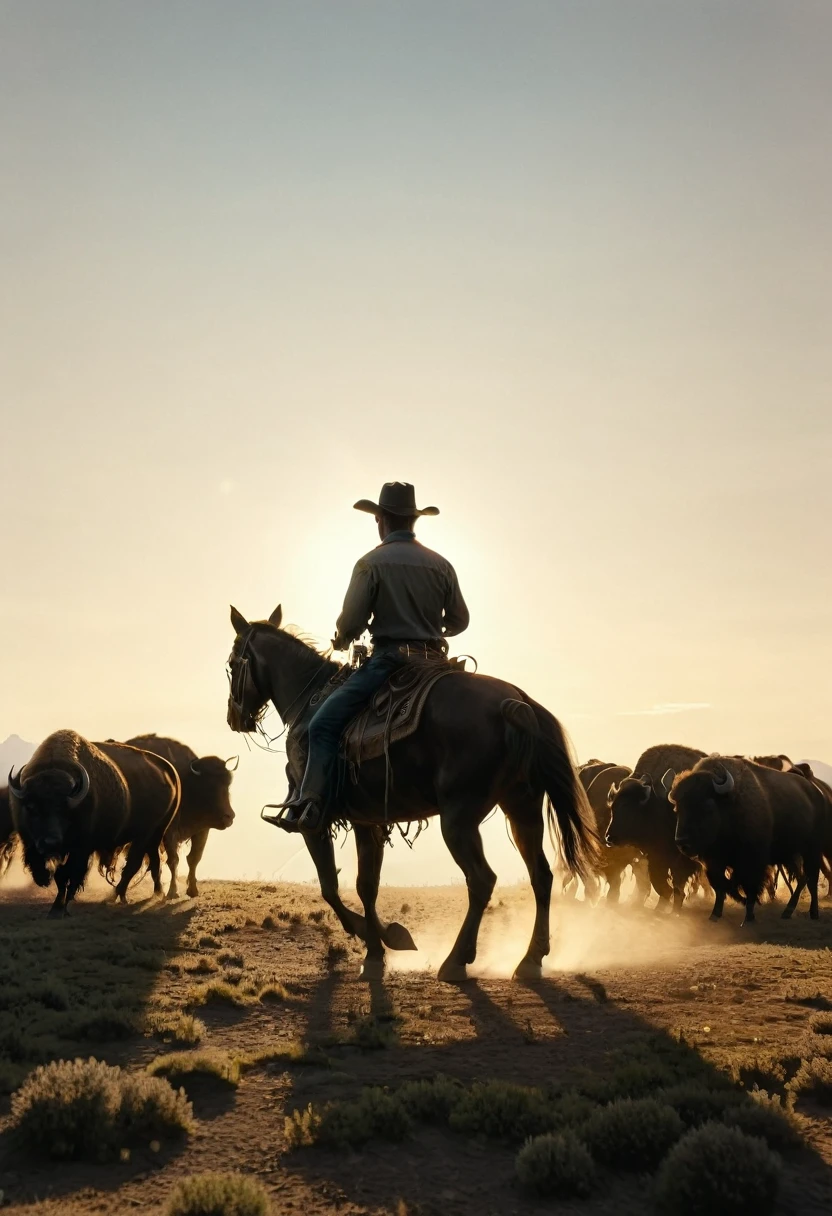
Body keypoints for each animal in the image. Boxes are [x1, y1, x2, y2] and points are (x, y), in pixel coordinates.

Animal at [10, 729, 180, 914]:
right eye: (31, 807)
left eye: (65, 809)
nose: (50, 843)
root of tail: (167, 769)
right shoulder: (32, 843)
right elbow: (58, 875)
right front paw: (56, 906)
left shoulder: (81, 849)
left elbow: (68, 874)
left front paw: (61, 907)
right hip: (153, 836)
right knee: (154, 861)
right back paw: (157, 893)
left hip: (148, 834)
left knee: (133, 864)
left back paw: (115, 896)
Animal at [126, 734, 237, 899]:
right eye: (209, 785)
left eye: (228, 783)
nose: (228, 817)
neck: (187, 782)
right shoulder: (169, 833)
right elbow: (174, 861)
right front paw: (173, 892)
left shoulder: (202, 830)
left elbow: (194, 859)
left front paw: (193, 890)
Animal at [226, 603, 598, 982]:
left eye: (231, 663)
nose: (234, 718)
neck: (310, 699)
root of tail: (517, 702)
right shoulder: (367, 820)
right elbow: (366, 885)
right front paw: (379, 950)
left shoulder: (312, 820)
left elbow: (330, 887)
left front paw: (377, 937)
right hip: (521, 808)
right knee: (541, 876)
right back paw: (530, 959)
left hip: (459, 820)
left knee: (482, 880)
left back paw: (456, 960)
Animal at [600, 739, 705, 914]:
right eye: (613, 808)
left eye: (630, 809)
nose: (609, 837)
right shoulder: (655, 858)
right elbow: (662, 885)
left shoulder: (680, 862)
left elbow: (675, 888)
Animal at [671, 758, 827, 919]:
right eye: (677, 808)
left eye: (707, 807)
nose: (682, 842)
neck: (729, 804)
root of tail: (817, 793)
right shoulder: (714, 863)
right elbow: (721, 886)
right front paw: (715, 914)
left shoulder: (752, 861)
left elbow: (748, 886)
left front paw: (749, 915)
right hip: (791, 855)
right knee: (803, 878)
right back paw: (788, 911)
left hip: (812, 851)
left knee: (811, 879)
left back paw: (813, 913)